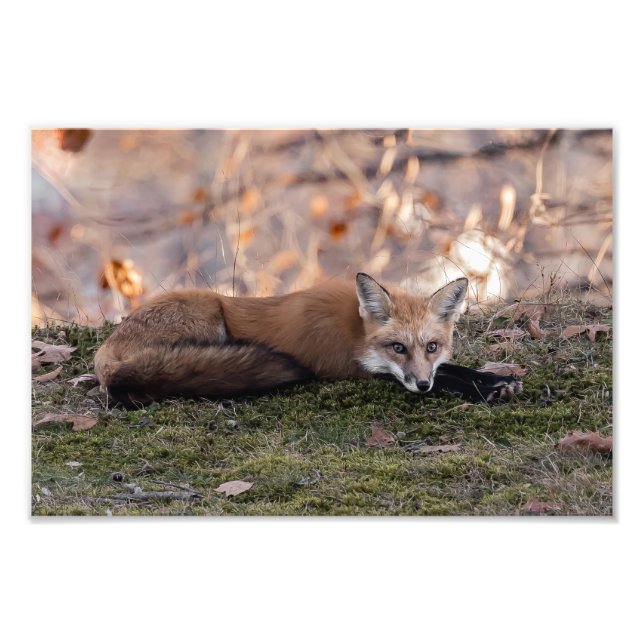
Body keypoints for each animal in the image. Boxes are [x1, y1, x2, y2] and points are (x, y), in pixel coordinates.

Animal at [94, 273, 522, 407]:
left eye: (432, 346)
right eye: (397, 347)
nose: (421, 385)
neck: (353, 331)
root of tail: (105, 353)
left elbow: (454, 369)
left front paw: (497, 379)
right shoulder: (348, 368)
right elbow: (449, 379)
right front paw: (487, 389)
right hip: (206, 315)